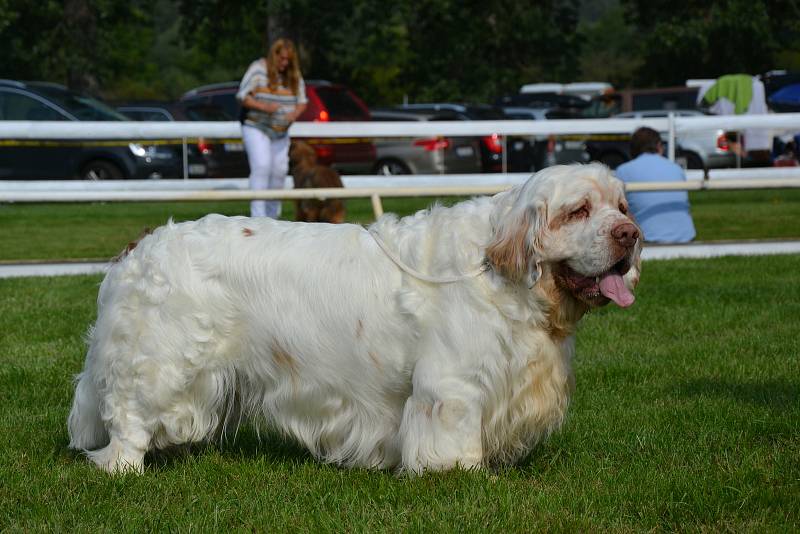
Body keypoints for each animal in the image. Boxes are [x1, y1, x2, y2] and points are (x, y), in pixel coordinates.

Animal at [69, 164, 644, 478]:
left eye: (620, 206)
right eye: (577, 210)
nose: (631, 235)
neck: (503, 273)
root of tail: (141, 243)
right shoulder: (452, 387)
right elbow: (454, 440)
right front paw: (461, 473)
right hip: (159, 361)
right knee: (127, 418)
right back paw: (122, 466)